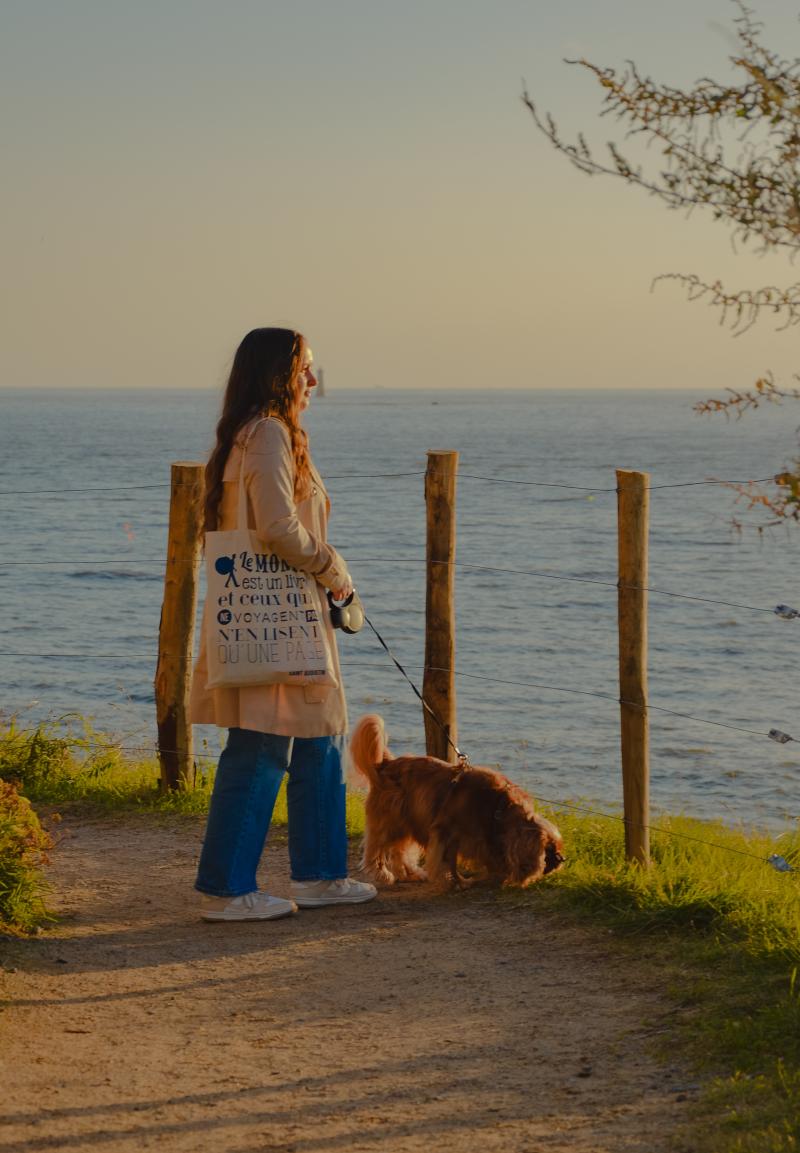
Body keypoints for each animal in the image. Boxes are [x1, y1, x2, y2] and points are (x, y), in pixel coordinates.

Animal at [350, 710, 564, 890]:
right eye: (549, 849)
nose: (562, 859)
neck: (497, 807)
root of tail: (386, 764)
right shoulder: (446, 833)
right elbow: (448, 861)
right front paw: (456, 882)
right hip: (390, 822)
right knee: (376, 848)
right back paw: (382, 873)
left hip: (407, 823)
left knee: (399, 851)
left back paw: (410, 874)